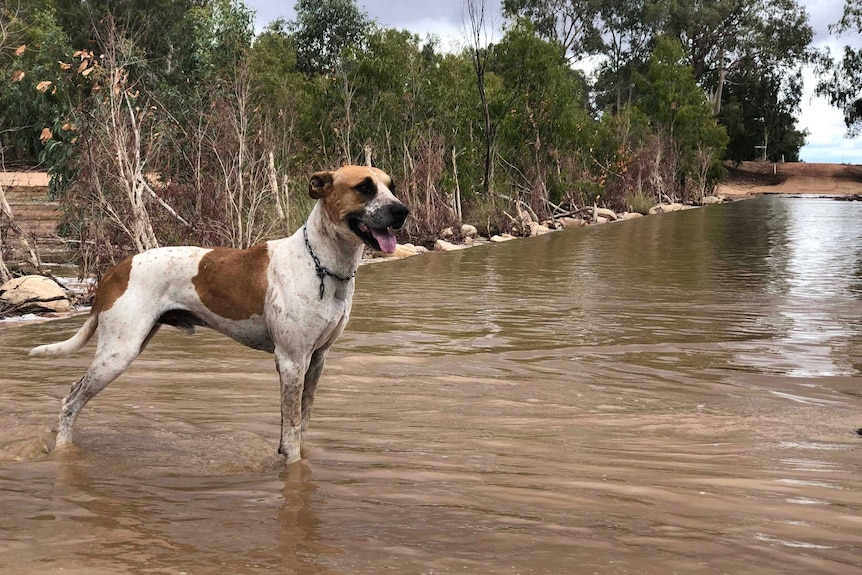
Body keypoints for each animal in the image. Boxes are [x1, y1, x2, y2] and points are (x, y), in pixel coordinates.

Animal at [32, 165, 410, 464]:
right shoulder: (291, 361)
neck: (319, 263)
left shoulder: (316, 360)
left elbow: (301, 423)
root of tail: (117, 269)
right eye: (364, 187)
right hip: (117, 353)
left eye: (391, 185)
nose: (402, 211)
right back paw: (63, 450)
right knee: (70, 400)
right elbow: (290, 435)